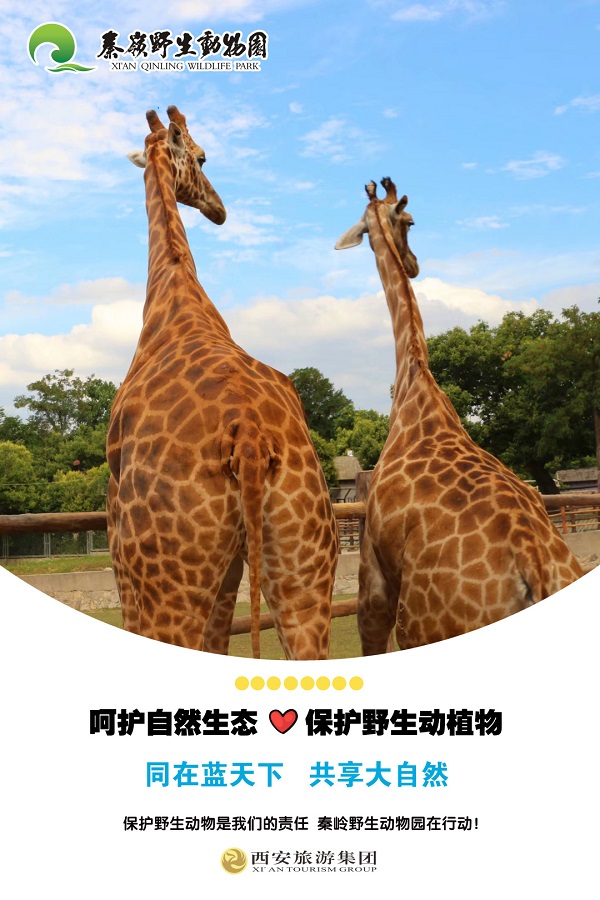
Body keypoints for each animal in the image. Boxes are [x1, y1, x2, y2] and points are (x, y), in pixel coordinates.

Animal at [106, 106, 338, 659]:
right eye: (205, 157)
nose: (219, 209)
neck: (176, 292)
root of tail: (249, 434)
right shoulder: (231, 565)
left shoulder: (119, 550)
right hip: (305, 568)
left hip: (167, 581)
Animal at [335, 177, 583, 653]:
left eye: (409, 221)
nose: (413, 264)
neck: (416, 388)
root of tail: (536, 570)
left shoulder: (373, 574)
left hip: (420, 627)